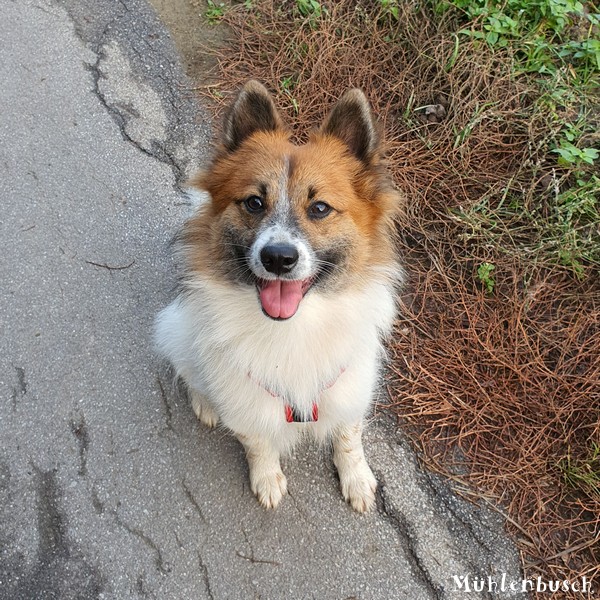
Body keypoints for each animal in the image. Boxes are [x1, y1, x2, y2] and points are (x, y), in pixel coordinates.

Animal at [155, 78, 400, 510]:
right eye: (254, 202)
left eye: (320, 208)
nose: (278, 258)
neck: (295, 326)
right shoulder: (247, 400)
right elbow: (258, 443)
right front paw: (267, 478)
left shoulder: (350, 387)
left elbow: (349, 437)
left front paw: (356, 479)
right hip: (178, 330)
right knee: (189, 370)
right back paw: (205, 403)